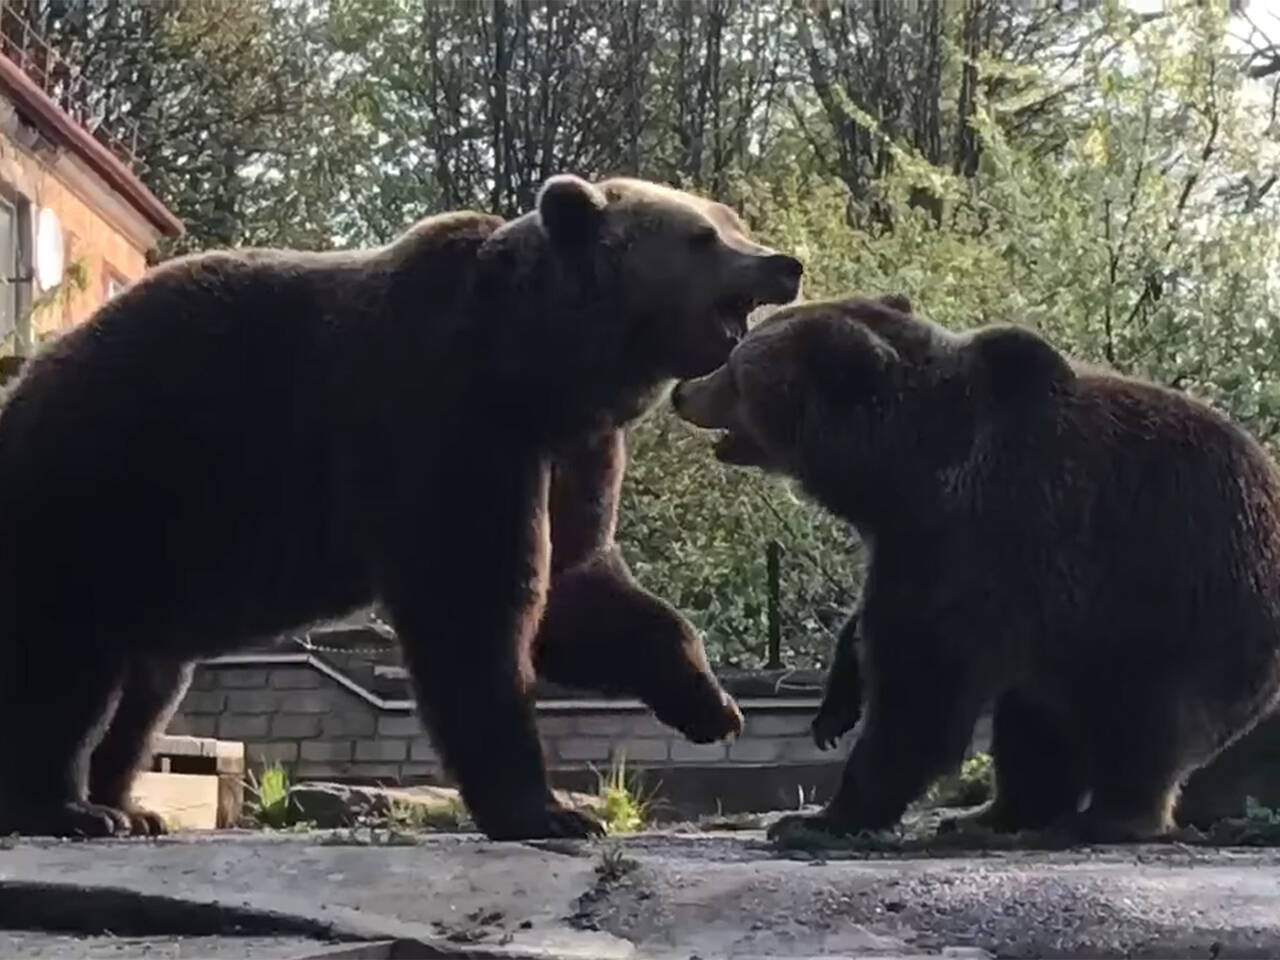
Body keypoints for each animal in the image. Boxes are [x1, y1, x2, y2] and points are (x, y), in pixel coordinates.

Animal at [0, 175, 798, 839]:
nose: (782, 262)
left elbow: (577, 583)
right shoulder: (440, 416)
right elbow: (475, 601)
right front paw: (548, 809)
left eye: (731, 219)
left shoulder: (572, 448)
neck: (538, 371)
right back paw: (69, 808)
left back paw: (128, 805)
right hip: (98, 496)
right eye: (703, 237)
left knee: (146, 690)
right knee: (65, 666)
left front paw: (709, 703)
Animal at [670, 291, 1280, 839]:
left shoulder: (982, 536)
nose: (682, 390)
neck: (902, 473)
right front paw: (834, 707)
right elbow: (876, 629)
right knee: (1035, 722)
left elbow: (920, 684)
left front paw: (819, 817)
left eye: (735, 367)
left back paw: (1110, 817)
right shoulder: (910, 540)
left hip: (1177, 612)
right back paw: (993, 815)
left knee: (1139, 721)